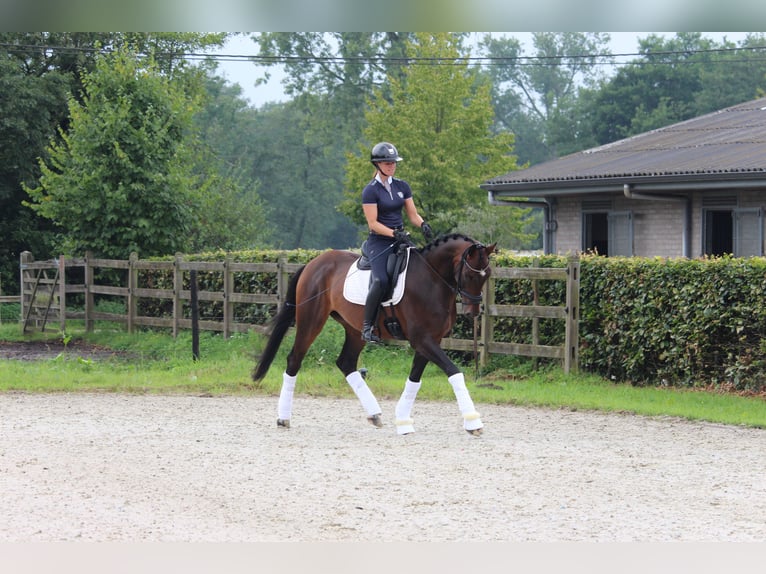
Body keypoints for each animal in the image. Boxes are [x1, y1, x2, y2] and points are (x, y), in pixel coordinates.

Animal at [252, 234, 498, 436]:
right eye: (470, 274)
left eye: (487, 275)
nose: (473, 311)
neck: (432, 278)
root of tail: (314, 262)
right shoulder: (423, 340)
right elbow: (454, 372)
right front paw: (473, 422)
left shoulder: (430, 340)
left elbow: (415, 378)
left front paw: (403, 421)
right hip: (311, 320)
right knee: (295, 359)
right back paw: (283, 418)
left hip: (354, 329)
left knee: (346, 362)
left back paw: (374, 414)